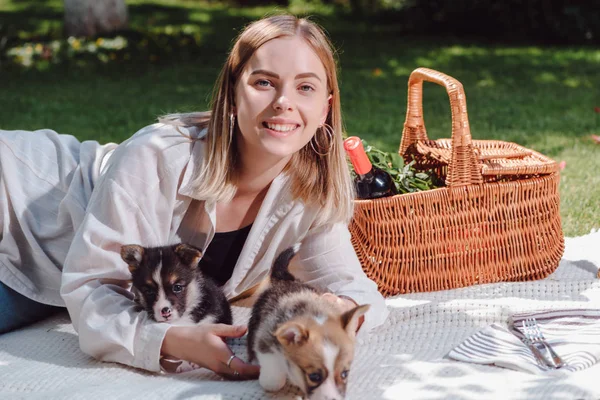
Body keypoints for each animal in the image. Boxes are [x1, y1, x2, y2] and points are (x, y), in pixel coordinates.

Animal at [246, 248, 368, 398]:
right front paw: (270, 380)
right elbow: (273, 378)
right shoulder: (265, 341)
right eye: (314, 376)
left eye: (344, 374)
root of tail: (286, 279)